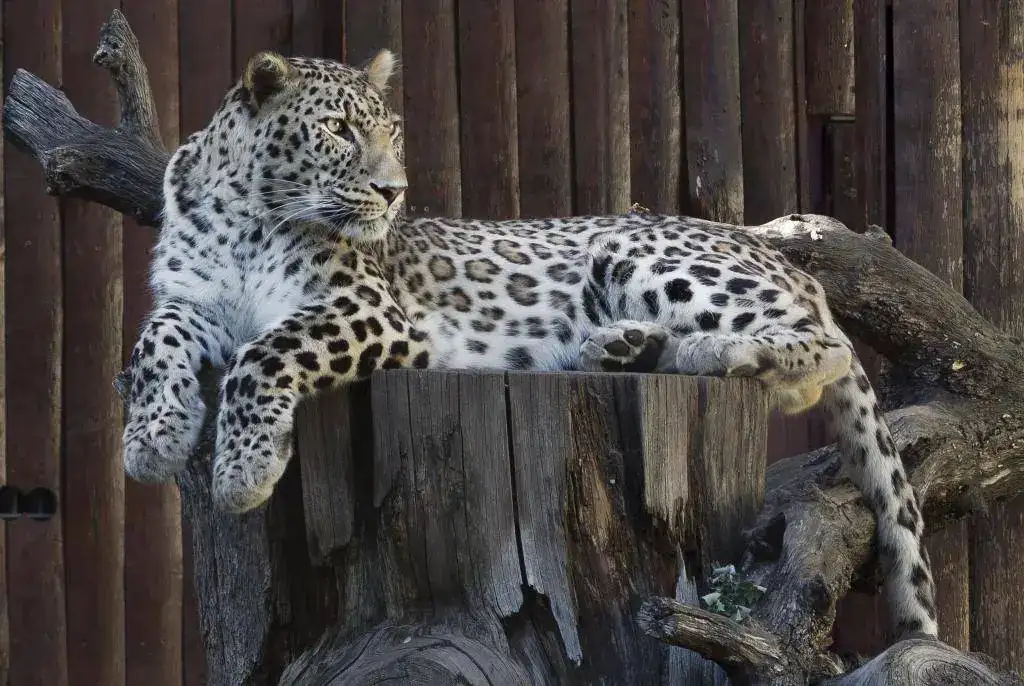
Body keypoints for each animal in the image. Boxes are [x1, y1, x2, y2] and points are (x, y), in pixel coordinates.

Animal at [122, 48, 938, 641]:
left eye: (391, 133)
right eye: (340, 131)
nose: (393, 191)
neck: (246, 213)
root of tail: (785, 259)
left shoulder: (370, 309)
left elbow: (264, 352)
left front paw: (242, 472)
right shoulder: (189, 300)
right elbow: (149, 344)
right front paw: (153, 441)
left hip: (644, 255)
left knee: (824, 348)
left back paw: (710, 354)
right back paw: (622, 349)